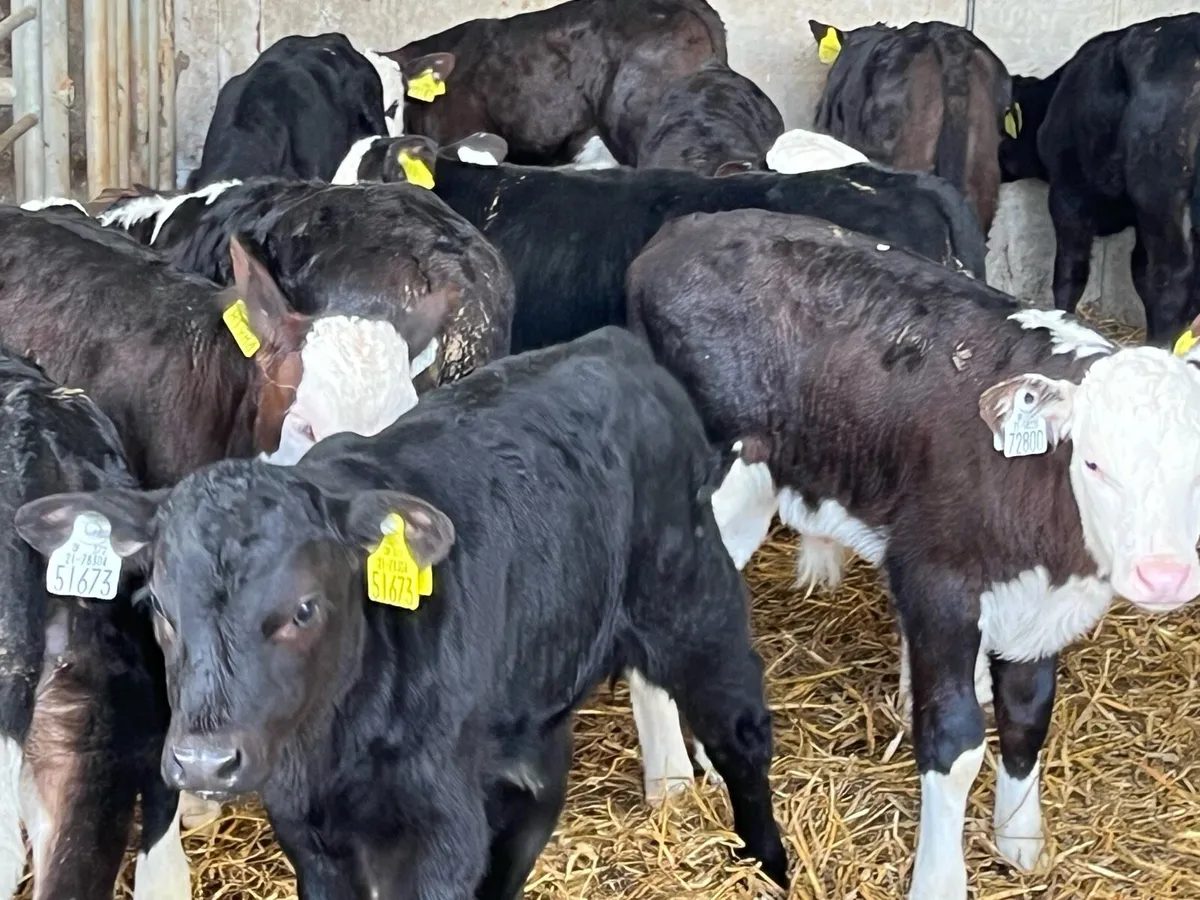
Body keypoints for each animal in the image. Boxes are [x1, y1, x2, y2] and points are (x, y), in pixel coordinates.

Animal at [624, 206, 1200, 900]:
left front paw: (1020, 843)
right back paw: (671, 781)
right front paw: (940, 880)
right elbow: (954, 740)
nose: (1164, 576)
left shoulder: (1038, 603)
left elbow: (1029, 715)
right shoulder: (936, 583)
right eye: (1093, 462)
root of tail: (680, 230)